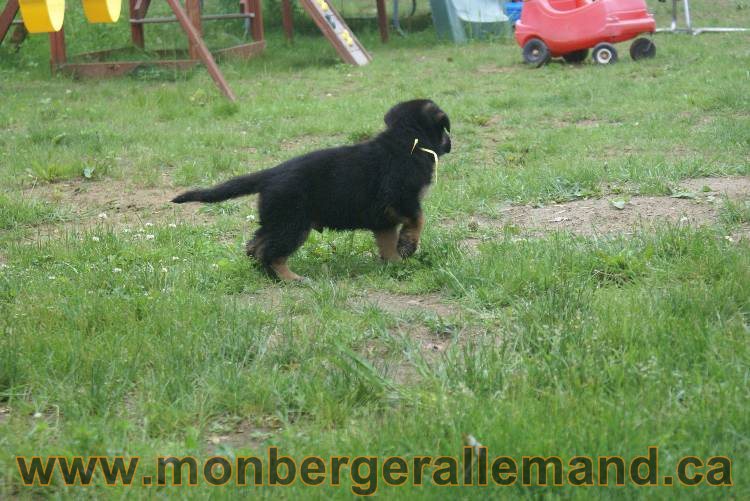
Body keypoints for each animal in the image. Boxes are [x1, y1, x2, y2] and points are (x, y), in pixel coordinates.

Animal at [172, 99, 452, 280]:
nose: (452, 143)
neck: (407, 141)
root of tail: (270, 174)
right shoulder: (402, 198)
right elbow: (418, 219)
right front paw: (408, 246)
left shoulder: (384, 218)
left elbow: (387, 243)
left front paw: (395, 263)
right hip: (293, 224)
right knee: (270, 252)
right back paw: (290, 278)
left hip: (278, 220)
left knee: (255, 245)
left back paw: (265, 273)